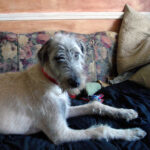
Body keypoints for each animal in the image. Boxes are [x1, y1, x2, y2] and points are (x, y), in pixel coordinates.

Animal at [0, 32, 146, 144]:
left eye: (76, 54)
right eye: (59, 57)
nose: (76, 83)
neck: (51, 83)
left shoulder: (65, 110)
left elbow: (94, 105)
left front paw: (124, 112)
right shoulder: (60, 134)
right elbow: (100, 130)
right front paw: (131, 133)